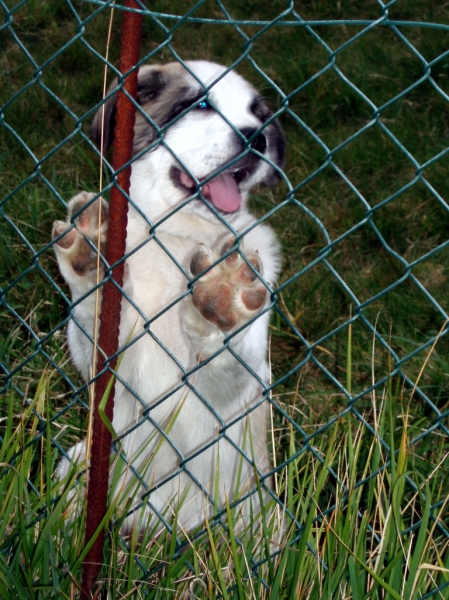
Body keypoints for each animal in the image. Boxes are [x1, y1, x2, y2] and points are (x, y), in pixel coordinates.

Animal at [51, 61, 284, 536]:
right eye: (199, 105)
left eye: (258, 114)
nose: (257, 137)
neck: (178, 237)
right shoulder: (108, 362)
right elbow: (93, 312)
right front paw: (91, 248)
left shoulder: (231, 387)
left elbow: (227, 358)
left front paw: (221, 300)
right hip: (81, 463)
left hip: (260, 517)